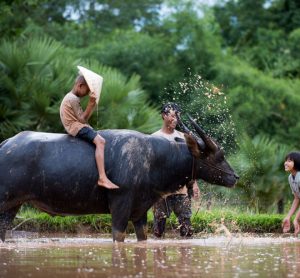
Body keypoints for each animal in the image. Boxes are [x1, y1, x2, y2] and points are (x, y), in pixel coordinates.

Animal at [0, 118, 239, 242]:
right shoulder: (120, 207)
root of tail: (6, 145)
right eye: (218, 155)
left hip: (12, 206)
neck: (154, 158)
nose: (234, 177)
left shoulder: (141, 210)